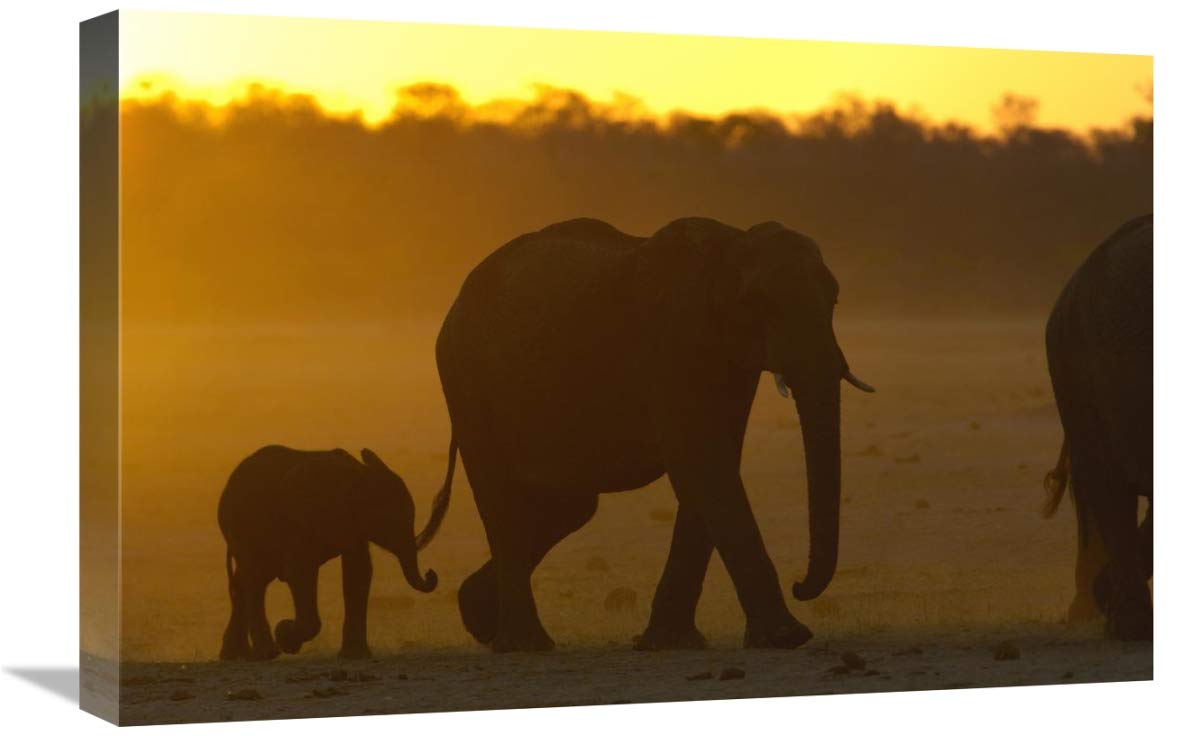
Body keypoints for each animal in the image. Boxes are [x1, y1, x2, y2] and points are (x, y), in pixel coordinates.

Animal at [217, 445, 452, 660]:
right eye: (391, 521)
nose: (431, 573)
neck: (358, 475)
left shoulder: (351, 526)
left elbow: (359, 571)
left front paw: (355, 656)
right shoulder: (299, 519)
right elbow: (300, 572)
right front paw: (285, 635)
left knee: (247, 580)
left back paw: (237, 655)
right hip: (242, 526)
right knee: (254, 578)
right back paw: (267, 653)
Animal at [434, 217, 874, 653]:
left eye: (834, 301)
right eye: (759, 303)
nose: (800, 584)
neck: (728, 249)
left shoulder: (730, 361)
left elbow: (716, 462)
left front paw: (671, 642)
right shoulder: (671, 345)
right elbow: (701, 461)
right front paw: (785, 638)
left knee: (571, 506)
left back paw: (479, 618)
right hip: (464, 377)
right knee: (502, 497)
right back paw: (524, 644)